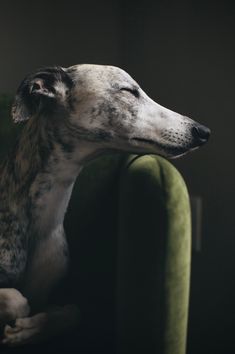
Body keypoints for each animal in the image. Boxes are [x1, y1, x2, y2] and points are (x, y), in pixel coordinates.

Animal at [0, 64, 209, 346]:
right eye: (128, 91)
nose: (203, 132)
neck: (40, 220)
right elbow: (17, 298)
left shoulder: (49, 295)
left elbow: (73, 311)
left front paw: (26, 330)